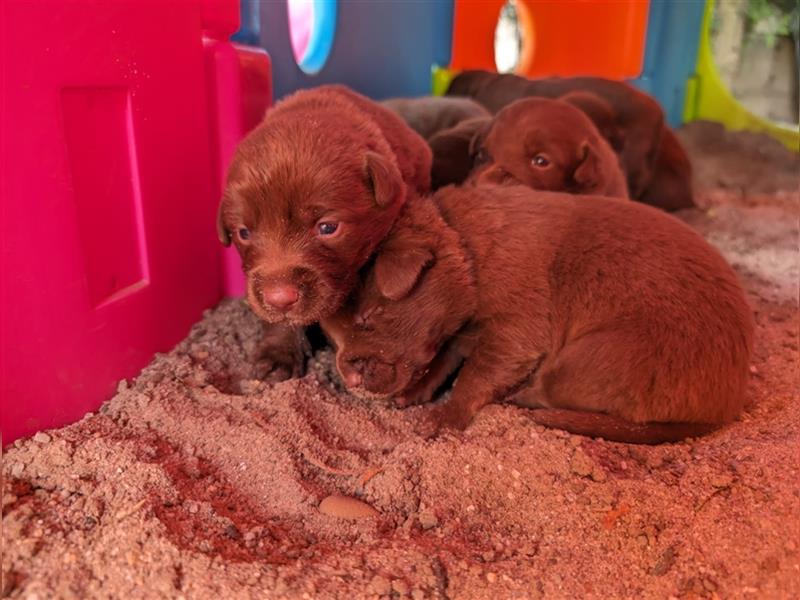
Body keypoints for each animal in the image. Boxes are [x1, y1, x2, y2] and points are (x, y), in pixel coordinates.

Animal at [322, 185, 752, 442]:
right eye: (333, 336)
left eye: (368, 316)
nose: (350, 376)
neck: (468, 248)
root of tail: (724, 411)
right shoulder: (460, 331)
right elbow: (444, 360)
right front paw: (414, 393)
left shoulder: (515, 330)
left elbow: (475, 375)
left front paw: (443, 418)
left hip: (589, 359)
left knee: (549, 392)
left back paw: (523, 398)